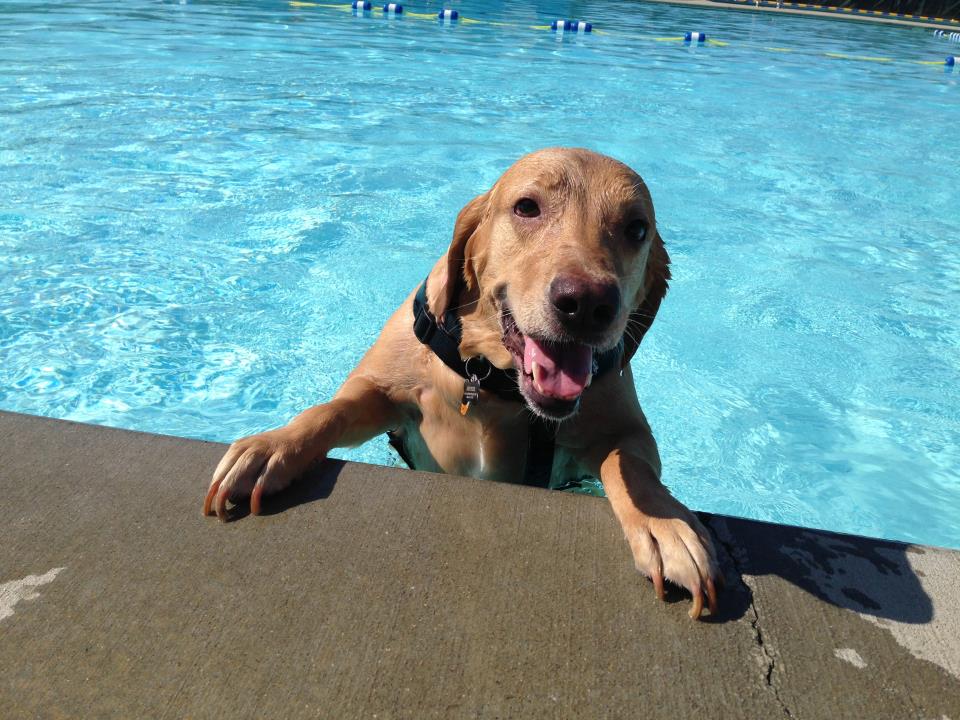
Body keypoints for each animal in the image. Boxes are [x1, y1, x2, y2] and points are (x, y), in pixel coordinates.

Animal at [202, 148, 720, 620]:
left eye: (637, 229)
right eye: (526, 207)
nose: (588, 304)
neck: (491, 379)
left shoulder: (627, 429)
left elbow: (628, 463)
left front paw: (663, 525)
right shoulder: (377, 391)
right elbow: (329, 411)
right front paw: (273, 447)